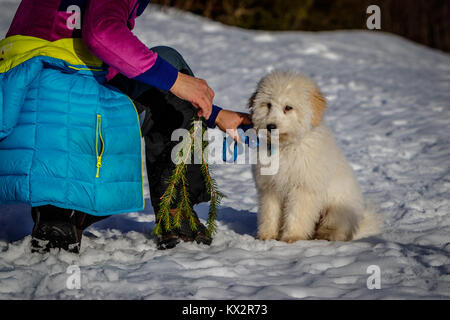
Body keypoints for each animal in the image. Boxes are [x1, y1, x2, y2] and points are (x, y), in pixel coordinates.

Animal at [251, 71, 382, 242]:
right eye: (268, 105)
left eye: (288, 107)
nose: (271, 126)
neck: (286, 147)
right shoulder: (270, 188)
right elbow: (270, 213)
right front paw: (267, 235)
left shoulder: (303, 188)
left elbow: (297, 214)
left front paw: (292, 236)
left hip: (337, 210)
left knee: (336, 228)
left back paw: (325, 235)